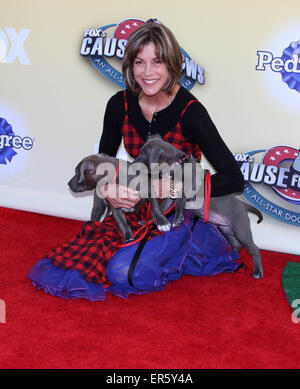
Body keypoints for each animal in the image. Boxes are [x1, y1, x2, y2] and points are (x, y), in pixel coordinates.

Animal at [135, 134, 264, 278]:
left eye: (142, 155)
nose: (133, 164)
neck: (177, 164)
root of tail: (242, 205)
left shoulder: (191, 187)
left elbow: (180, 200)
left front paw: (178, 218)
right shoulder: (170, 195)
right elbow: (163, 208)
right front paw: (150, 222)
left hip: (240, 229)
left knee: (254, 249)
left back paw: (257, 271)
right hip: (226, 229)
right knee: (237, 245)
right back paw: (229, 256)